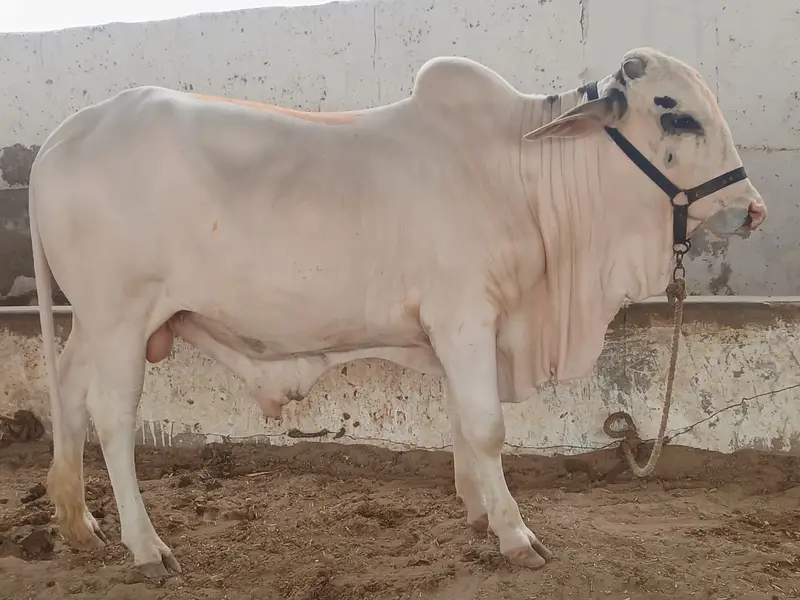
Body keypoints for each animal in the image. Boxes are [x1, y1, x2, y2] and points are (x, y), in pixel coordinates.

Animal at [28, 46, 766, 577]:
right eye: (675, 114)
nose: (752, 208)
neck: (518, 171)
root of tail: (63, 136)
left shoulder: (457, 328)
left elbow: (462, 423)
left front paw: (478, 513)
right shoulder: (466, 314)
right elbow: (486, 427)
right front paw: (516, 535)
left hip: (95, 324)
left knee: (67, 393)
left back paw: (80, 525)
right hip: (121, 318)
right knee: (112, 419)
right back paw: (146, 547)